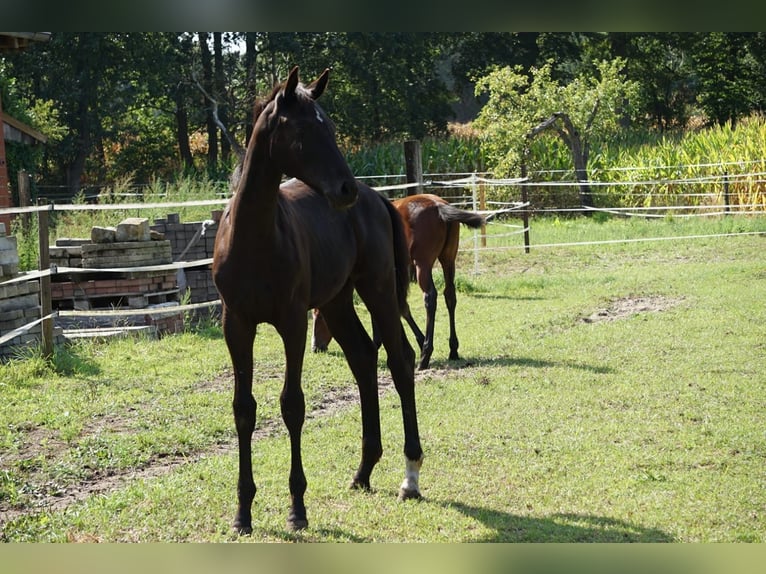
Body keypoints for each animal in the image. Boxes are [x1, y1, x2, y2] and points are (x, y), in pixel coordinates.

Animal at [212, 66, 423, 534]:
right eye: (304, 130)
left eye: (331, 128)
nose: (345, 189)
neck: (255, 239)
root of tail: (378, 198)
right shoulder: (237, 324)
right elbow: (242, 409)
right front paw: (242, 513)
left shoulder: (291, 321)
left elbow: (292, 406)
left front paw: (297, 508)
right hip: (336, 303)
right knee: (363, 358)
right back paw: (364, 470)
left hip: (377, 288)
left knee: (399, 361)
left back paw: (411, 477)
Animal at [312, 193, 485, 370]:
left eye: (319, 316)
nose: (315, 347)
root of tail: (438, 206)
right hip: (448, 260)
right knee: (450, 295)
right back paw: (453, 350)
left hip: (422, 264)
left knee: (430, 297)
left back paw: (425, 355)